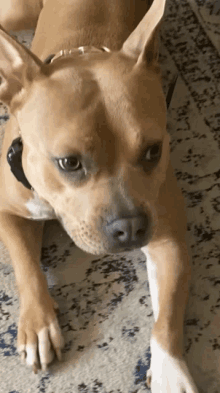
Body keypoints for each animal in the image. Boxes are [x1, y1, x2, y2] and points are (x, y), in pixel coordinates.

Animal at [0, 0, 199, 390]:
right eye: (68, 162)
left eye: (153, 151)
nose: (132, 227)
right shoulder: (8, 211)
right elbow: (25, 265)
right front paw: (38, 324)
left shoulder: (168, 240)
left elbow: (167, 317)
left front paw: (170, 370)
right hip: (14, 14)